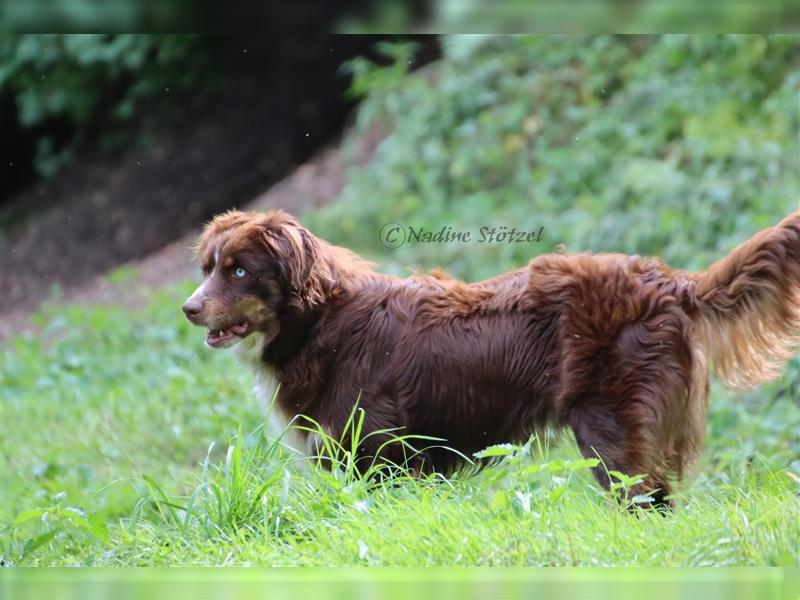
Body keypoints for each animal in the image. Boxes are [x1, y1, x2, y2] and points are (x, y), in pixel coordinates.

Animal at [183, 211, 800, 506]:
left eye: (240, 270)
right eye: (208, 267)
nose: (189, 309)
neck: (320, 322)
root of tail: (673, 283)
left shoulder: (381, 458)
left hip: (612, 428)